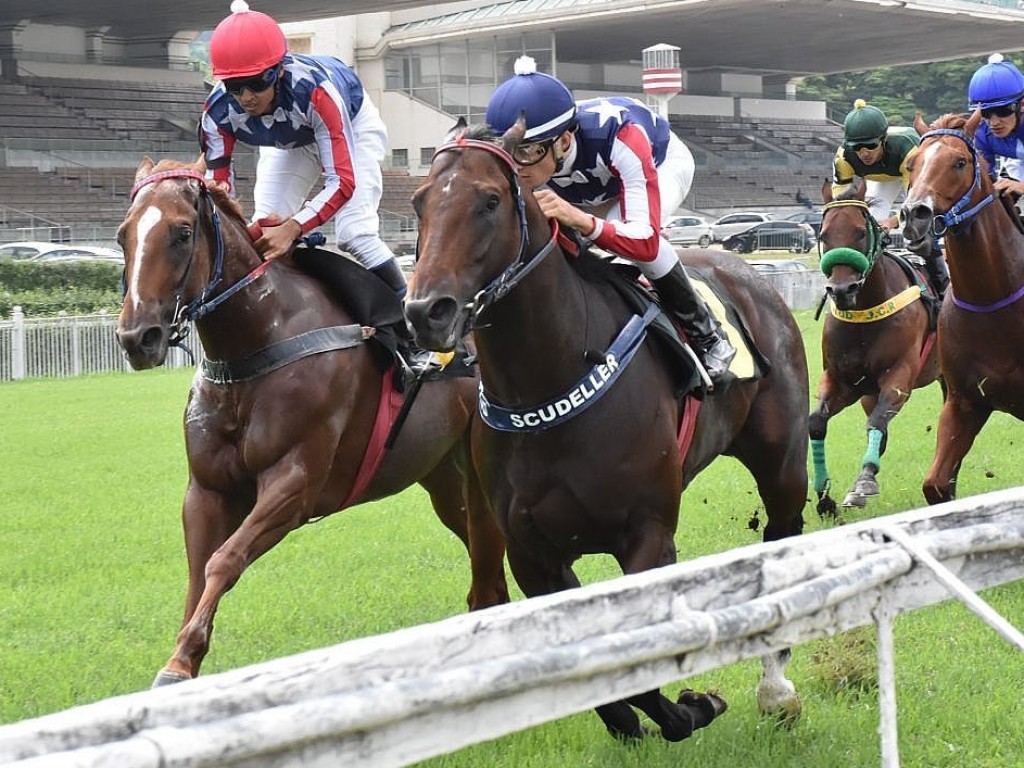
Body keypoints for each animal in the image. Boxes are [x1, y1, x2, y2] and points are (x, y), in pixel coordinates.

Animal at [115, 156, 507, 684]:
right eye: (123, 235)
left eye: (181, 232)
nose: (138, 337)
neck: (256, 344)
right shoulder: (207, 490)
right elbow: (198, 572)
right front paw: (181, 662)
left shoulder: (294, 483)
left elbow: (224, 560)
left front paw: (180, 660)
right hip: (443, 474)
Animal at [403, 121, 811, 745]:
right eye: (419, 203)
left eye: (490, 201)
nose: (427, 311)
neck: (547, 383)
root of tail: (749, 273)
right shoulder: (531, 553)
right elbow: (595, 670)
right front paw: (639, 722)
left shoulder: (648, 535)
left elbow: (643, 667)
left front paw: (694, 707)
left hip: (783, 461)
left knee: (783, 536)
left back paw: (775, 689)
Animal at [811, 180, 937, 518]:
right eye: (823, 235)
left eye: (859, 232)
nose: (841, 290)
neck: (863, 316)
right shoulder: (842, 381)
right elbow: (816, 423)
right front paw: (824, 495)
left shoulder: (900, 375)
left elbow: (877, 422)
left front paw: (864, 482)